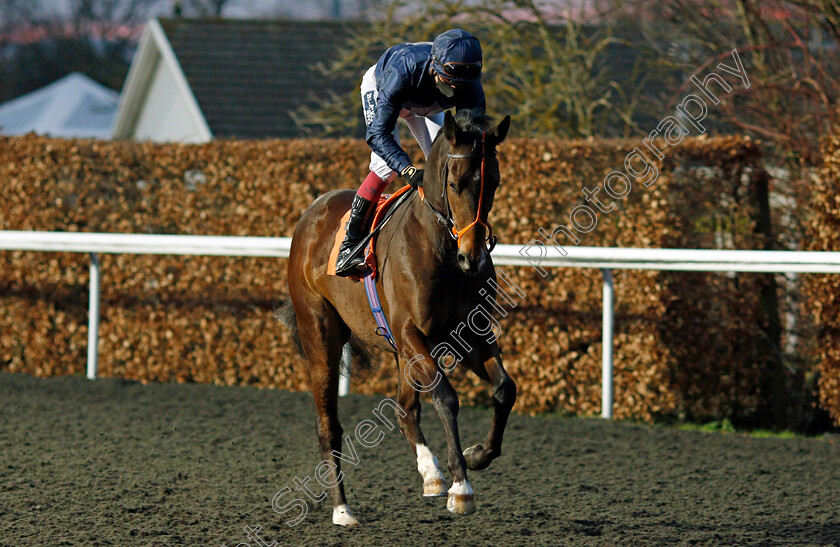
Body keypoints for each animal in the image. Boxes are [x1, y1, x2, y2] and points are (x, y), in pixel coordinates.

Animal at [282, 108, 516, 528]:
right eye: (454, 184)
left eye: (494, 183)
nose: (473, 257)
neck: (443, 253)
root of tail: (311, 213)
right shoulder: (411, 333)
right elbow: (446, 397)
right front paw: (461, 487)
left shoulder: (468, 335)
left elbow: (505, 389)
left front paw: (476, 456)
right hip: (321, 337)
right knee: (329, 425)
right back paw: (342, 509)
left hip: (400, 351)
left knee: (406, 408)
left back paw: (430, 473)